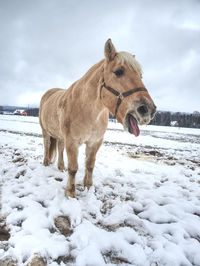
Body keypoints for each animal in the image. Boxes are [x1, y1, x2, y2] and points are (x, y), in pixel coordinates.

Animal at [39, 39, 156, 197]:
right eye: (118, 72)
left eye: (140, 76)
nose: (147, 109)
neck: (88, 112)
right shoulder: (72, 142)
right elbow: (73, 168)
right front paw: (70, 193)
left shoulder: (95, 142)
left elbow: (90, 165)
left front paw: (88, 188)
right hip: (45, 132)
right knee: (47, 146)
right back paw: (46, 164)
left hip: (60, 136)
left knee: (60, 148)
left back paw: (61, 167)